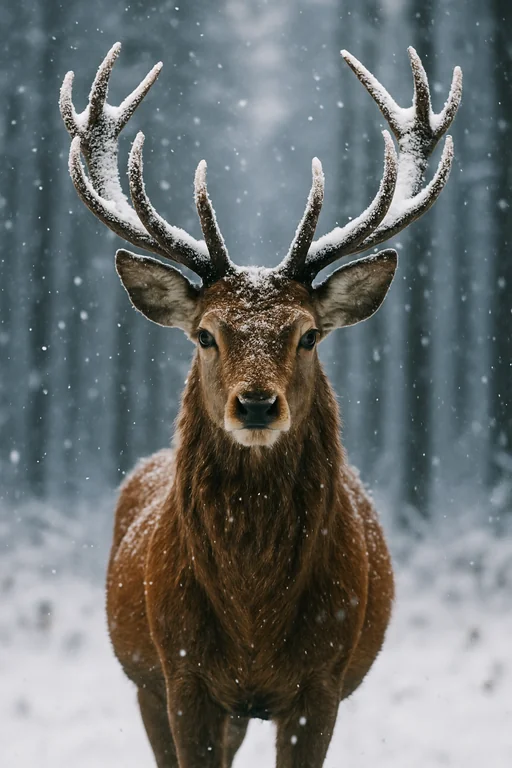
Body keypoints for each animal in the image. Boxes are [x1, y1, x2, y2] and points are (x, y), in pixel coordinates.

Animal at [60, 43, 462, 767]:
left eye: (308, 334)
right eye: (205, 334)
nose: (254, 404)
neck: (253, 621)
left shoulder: (321, 679)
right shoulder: (182, 674)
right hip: (145, 682)